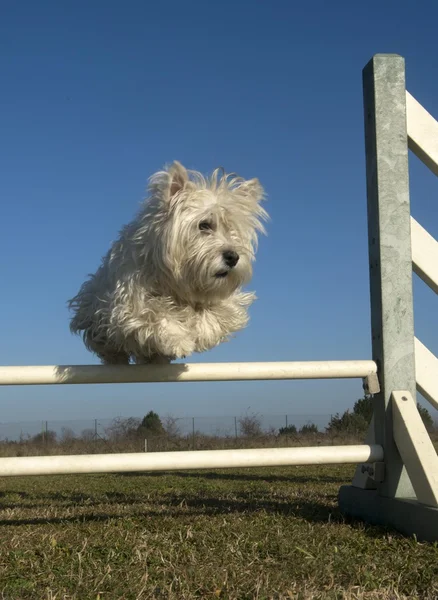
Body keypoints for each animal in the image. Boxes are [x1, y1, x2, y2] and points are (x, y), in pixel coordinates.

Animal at [68, 161, 266, 366]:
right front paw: (179, 340)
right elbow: (155, 313)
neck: (176, 283)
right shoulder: (129, 305)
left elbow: (217, 312)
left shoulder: (227, 301)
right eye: (204, 225)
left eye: (233, 231)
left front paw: (203, 332)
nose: (233, 257)